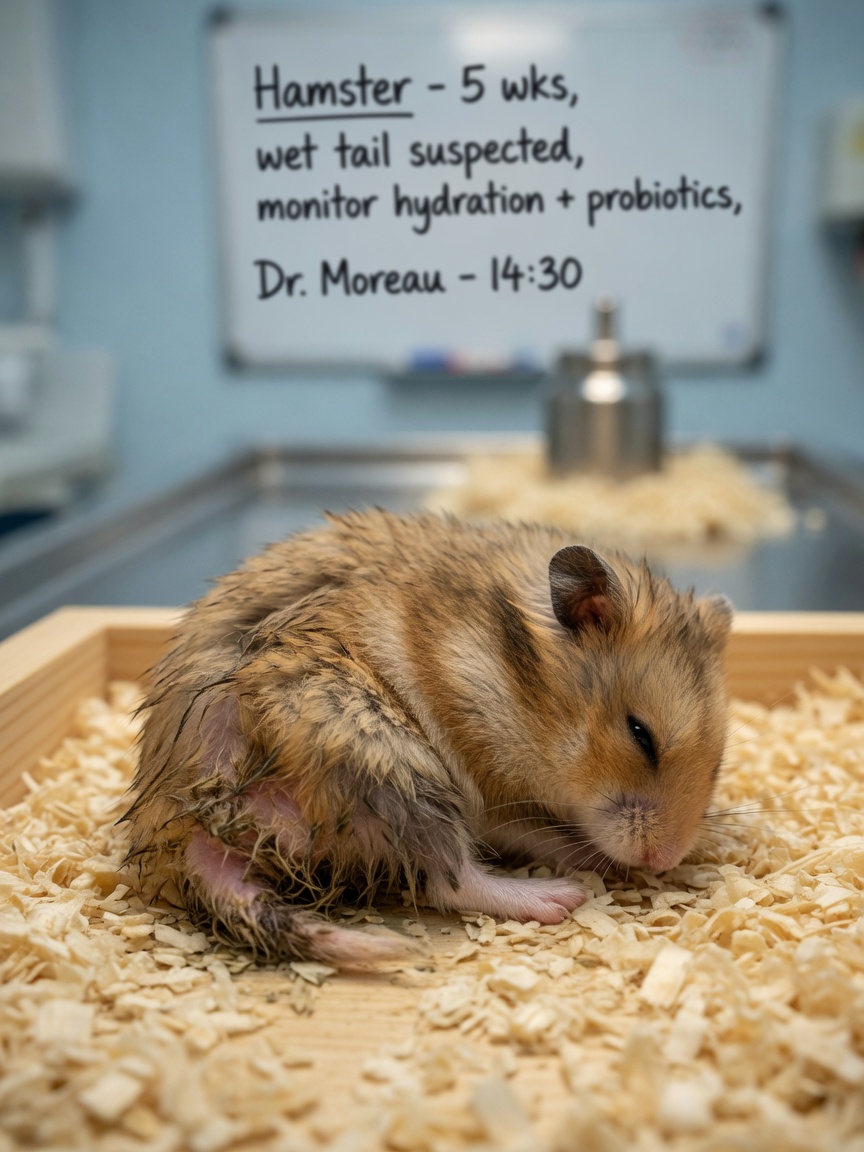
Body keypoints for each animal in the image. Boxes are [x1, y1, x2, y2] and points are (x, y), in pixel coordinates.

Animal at [124, 510, 733, 967]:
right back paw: (559, 896)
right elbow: (532, 833)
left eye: (718, 765)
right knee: (450, 878)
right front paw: (596, 862)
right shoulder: (489, 791)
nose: (663, 861)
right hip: (397, 771)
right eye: (640, 734)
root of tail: (198, 810)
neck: (521, 688)